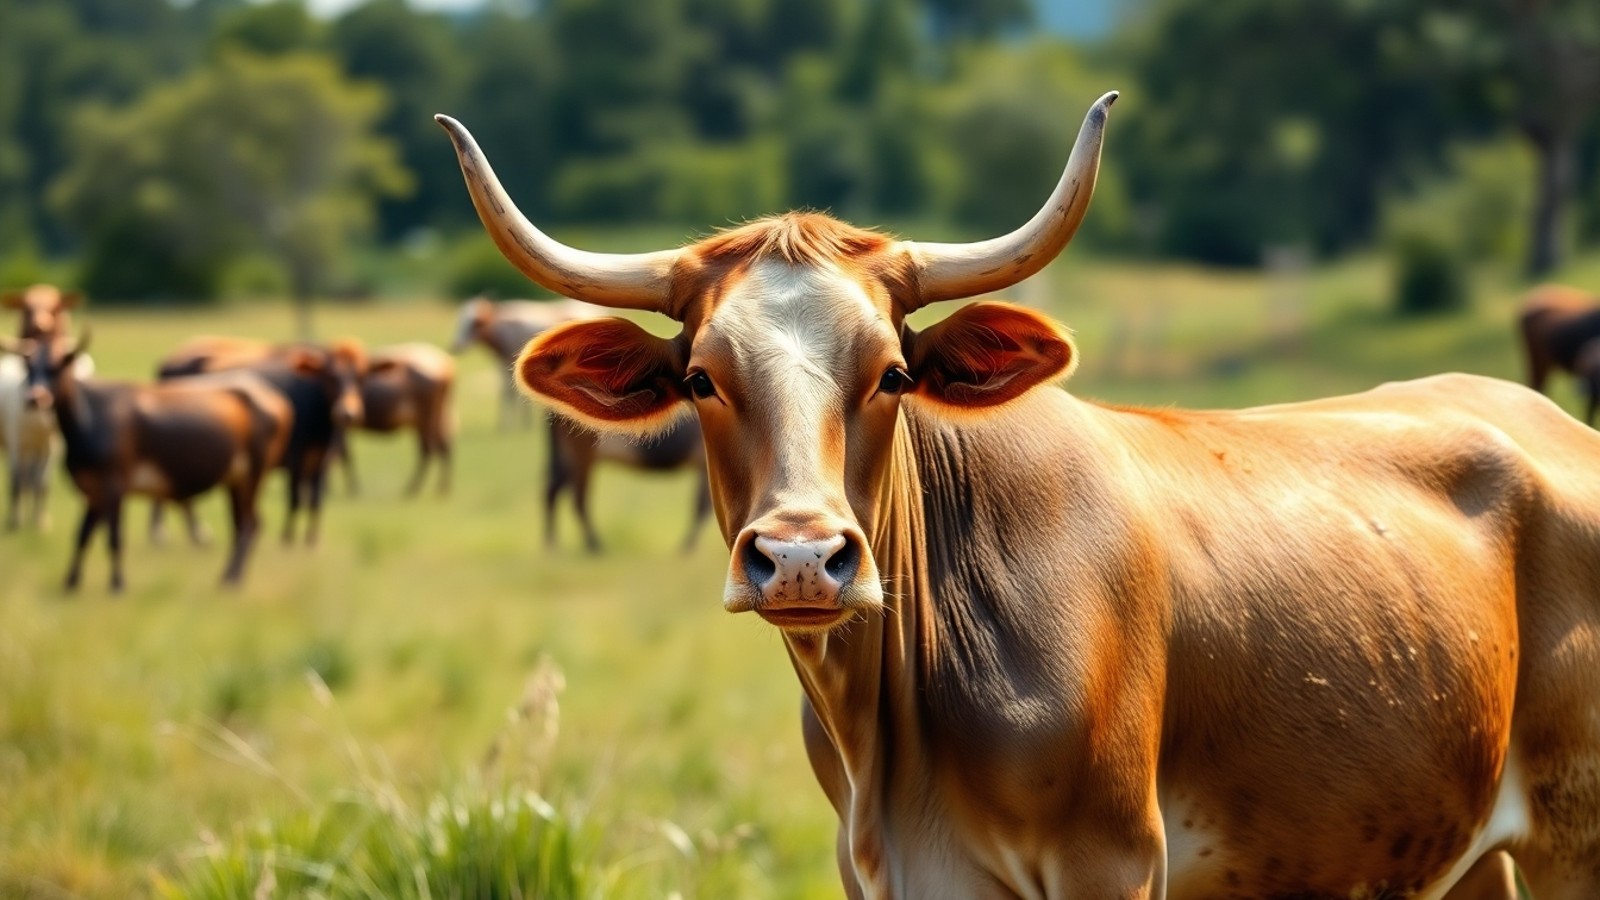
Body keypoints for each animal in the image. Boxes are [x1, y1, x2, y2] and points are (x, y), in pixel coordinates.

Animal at [2, 333, 291, 591]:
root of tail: (278, 401)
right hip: (236, 478)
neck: (88, 419)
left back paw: (232, 579)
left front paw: (117, 584)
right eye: (28, 368)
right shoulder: (92, 490)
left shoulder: (114, 485)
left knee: (249, 524)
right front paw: (71, 582)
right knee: (243, 524)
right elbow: (82, 535)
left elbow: (114, 537)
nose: (35, 397)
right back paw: (229, 576)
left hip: (255, 472)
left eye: (57, 366)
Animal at [155, 336, 367, 546]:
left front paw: (311, 540)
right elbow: (295, 498)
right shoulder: (296, 458)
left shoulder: (321, 460)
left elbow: (315, 500)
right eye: (331, 377)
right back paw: (176, 533)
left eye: (360, 377)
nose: (347, 413)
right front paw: (287, 538)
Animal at [338, 342, 456, 497]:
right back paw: (441, 488)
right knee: (443, 447)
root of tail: (446, 366)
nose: (347, 414)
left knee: (428, 449)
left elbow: (343, 454)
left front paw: (353, 488)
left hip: (425, 418)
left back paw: (413, 488)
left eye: (361, 378)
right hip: (436, 417)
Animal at [439, 93, 1600, 899]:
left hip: (1571, 835)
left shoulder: (1111, 860)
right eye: (697, 379)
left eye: (892, 374)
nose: (803, 557)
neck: (897, 733)